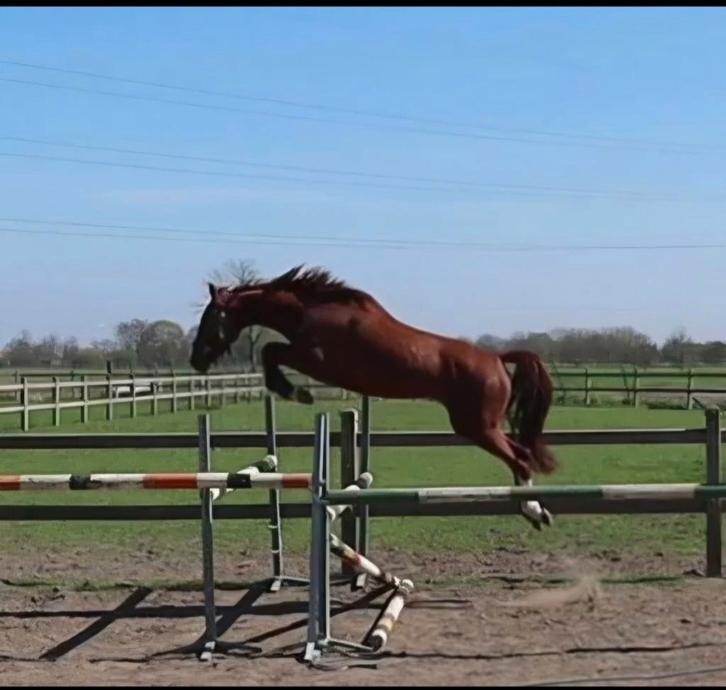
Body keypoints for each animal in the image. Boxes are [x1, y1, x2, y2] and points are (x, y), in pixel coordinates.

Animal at [190, 265, 557, 529]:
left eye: (210, 317)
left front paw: (298, 392)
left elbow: (271, 352)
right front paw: (295, 391)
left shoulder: (315, 359)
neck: (310, 311)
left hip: (477, 427)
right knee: (520, 455)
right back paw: (534, 510)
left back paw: (534, 510)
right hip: (480, 427)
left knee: (520, 458)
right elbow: (272, 352)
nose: (196, 359)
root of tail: (497, 358)